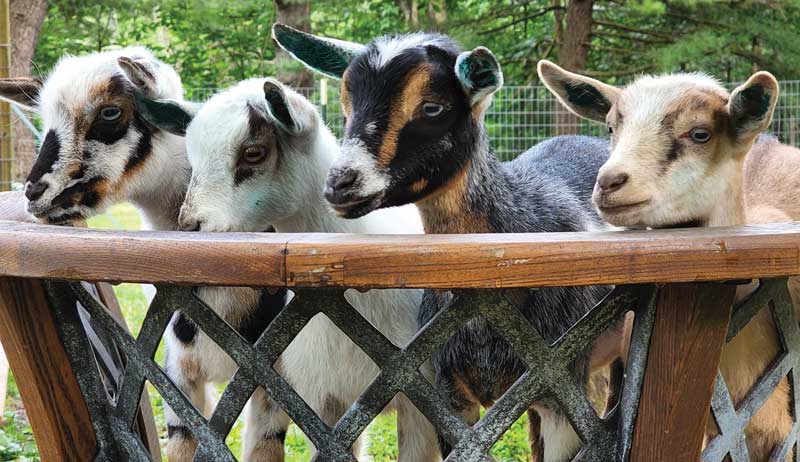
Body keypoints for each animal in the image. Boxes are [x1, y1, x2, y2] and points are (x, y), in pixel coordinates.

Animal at [0, 47, 288, 462]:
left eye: (110, 112)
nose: (33, 192)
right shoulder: (175, 372)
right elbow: (182, 441)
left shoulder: (274, 377)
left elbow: (265, 446)